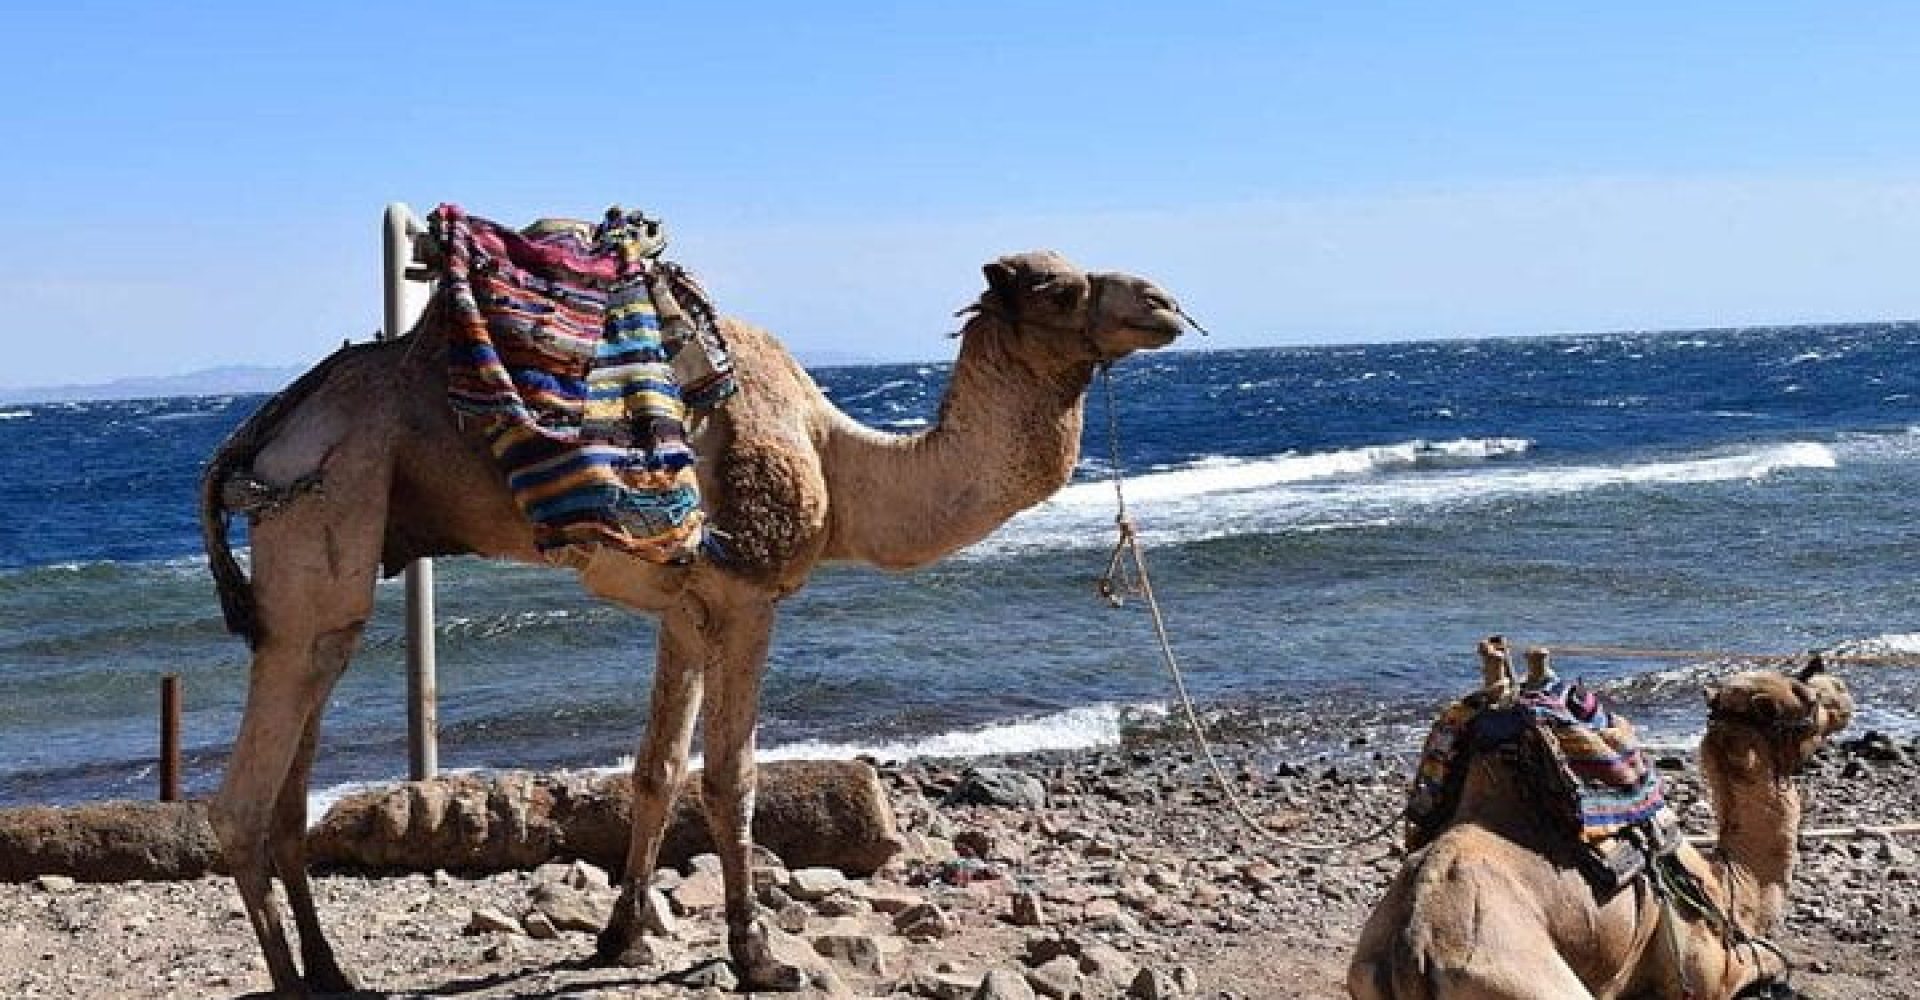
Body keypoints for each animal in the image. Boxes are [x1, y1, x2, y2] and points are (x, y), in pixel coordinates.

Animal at [198, 248, 1194, 996]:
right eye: (1059, 289)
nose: (1165, 301)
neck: (838, 460)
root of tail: (262, 433)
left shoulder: (682, 611)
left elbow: (655, 773)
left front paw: (620, 936)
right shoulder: (748, 599)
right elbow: (729, 779)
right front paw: (758, 957)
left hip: (334, 565)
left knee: (292, 776)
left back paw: (331, 973)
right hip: (325, 509)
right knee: (242, 801)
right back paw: (293, 982)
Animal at [1348, 653, 1853, 1000]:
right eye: (1806, 698)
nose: (1842, 692)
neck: (1728, 883)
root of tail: (1412, 950)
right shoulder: (1700, 970)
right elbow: (1767, 961)